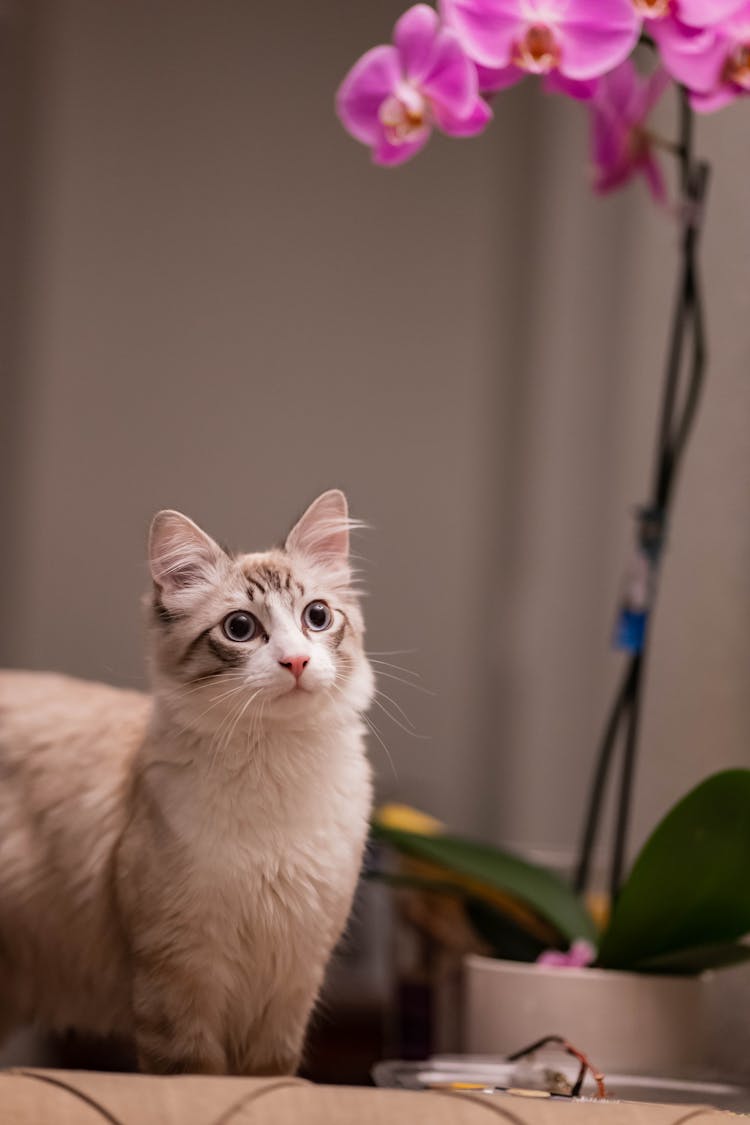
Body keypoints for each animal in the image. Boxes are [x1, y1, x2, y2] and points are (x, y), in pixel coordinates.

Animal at [0, 490, 375, 1071]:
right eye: (240, 628)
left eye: (316, 616)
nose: (296, 661)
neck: (273, 764)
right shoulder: (177, 971)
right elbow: (197, 1073)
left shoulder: (293, 978)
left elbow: (270, 1077)